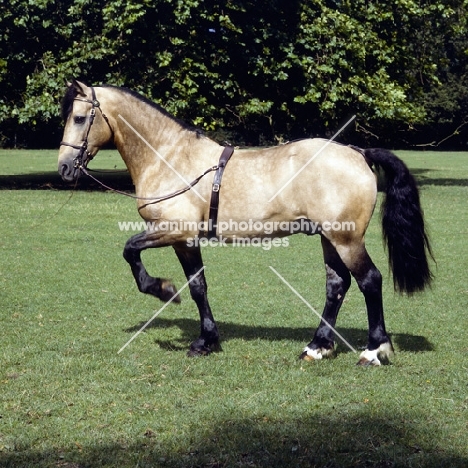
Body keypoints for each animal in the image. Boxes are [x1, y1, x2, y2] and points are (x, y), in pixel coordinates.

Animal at [58, 79, 436, 366]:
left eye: (79, 117)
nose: (64, 167)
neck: (170, 158)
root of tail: (358, 152)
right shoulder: (186, 241)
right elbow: (198, 286)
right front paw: (206, 340)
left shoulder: (172, 231)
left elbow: (130, 251)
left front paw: (161, 288)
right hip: (330, 238)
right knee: (337, 285)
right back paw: (317, 346)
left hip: (347, 240)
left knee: (369, 281)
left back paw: (374, 350)